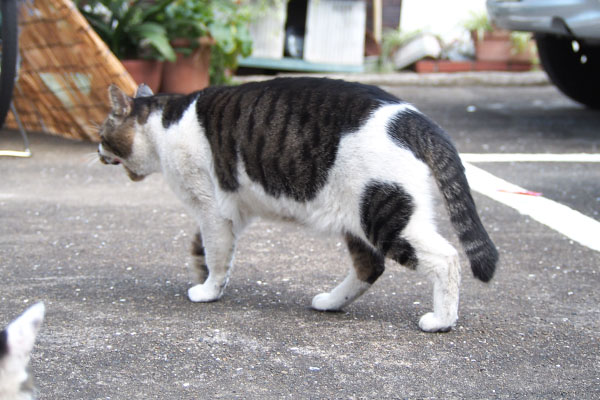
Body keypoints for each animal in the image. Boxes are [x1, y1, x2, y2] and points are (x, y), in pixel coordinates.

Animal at [98, 77, 500, 332]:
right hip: (358, 219)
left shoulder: (212, 210)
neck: (162, 126)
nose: (97, 150)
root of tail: (414, 118)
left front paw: (208, 291)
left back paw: (441, 321)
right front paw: (205, 276)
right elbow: (206, 249)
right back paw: (331, 302)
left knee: (445, 259)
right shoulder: (233, 212)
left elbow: (216, 253)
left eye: (102, 132)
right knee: (369, 267)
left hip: (385, 213)